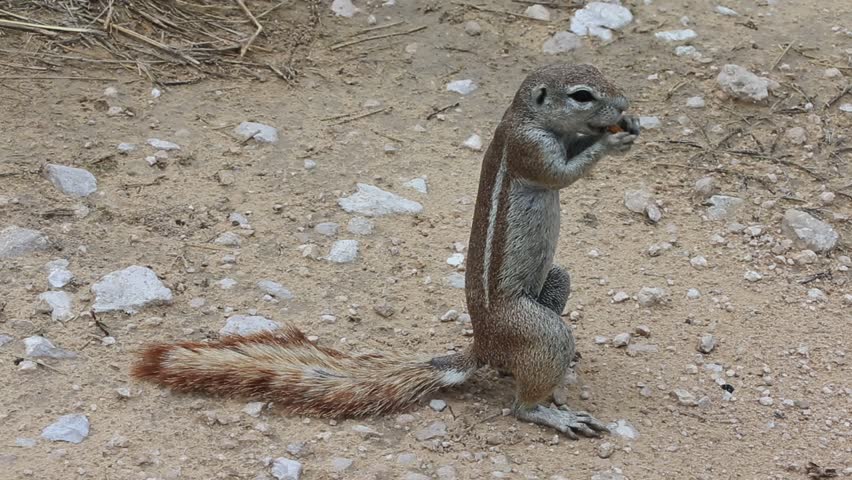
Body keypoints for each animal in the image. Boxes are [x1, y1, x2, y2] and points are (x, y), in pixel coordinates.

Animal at [132, 63, 640, 438]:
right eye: (582, 95)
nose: (625, 105)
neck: (526, 116)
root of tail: (483, 346)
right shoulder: (529, 148)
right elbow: (561, 172)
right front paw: (611, 139)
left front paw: (627, 126)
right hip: (537, 329)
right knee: (523, 401)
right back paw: (549, 410)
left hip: (552, 285)